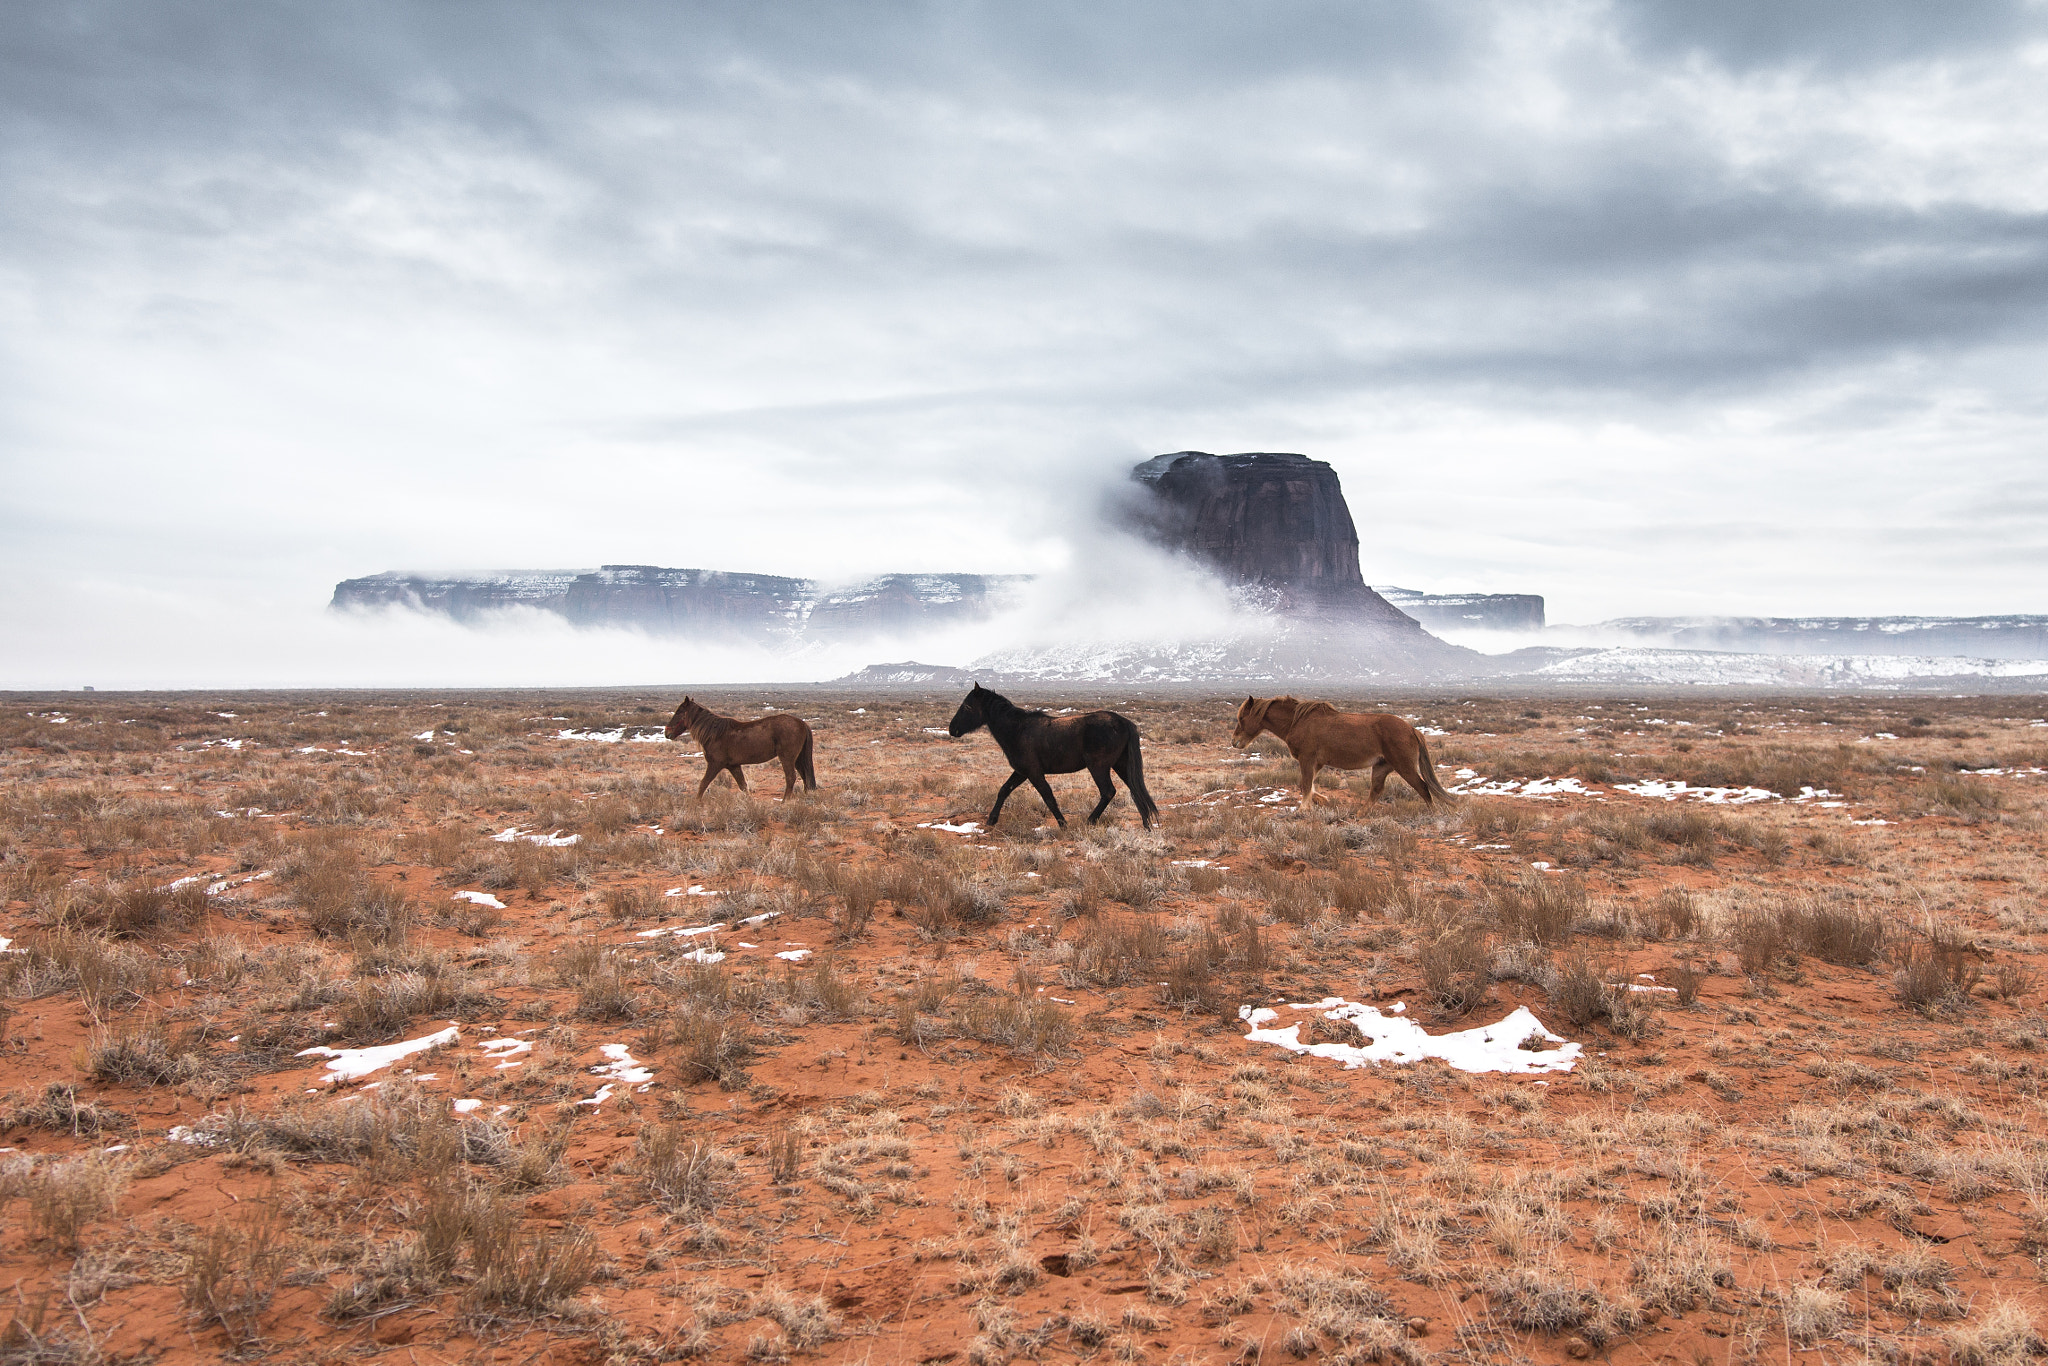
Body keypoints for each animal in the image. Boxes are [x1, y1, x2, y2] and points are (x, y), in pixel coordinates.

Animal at [664, 696, 817, 800]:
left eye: (678, 712)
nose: (667, 733)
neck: (714, 733)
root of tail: (801, 722)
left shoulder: (715, 765)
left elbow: (703, 784)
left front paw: (695, 803)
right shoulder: (734, 766)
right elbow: (743, 786)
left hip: (787, 758)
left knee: (791, 777)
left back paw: (785, 802)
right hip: (797, 759)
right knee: (805, 777)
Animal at [947, 684, 1159, 830]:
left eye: (966, 707)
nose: (952, 729)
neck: (1018, 730)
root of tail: (1125, 722)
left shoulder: (1034, 773)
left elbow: (1048, 797)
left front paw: (1063, 824)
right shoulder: (1021, 772)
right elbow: (1004, 790)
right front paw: (991, 820)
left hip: (1099, 767)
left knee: (1108, 792)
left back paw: (1090, 821)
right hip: (1121, 765)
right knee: (1135, 789)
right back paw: (1146, 824)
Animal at [1232, 695, 1455, 811]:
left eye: (1242, 718)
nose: (1235, 742)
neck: (1297, 721)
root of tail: (1412, 729)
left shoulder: (1307, 759)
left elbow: (1305, 784)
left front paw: (1303, 809)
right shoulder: (1317, 762)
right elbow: (1310, 785)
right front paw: (1321, 800)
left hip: (1404, 767)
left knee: (1423, 788)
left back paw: (1432, 814)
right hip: (1381, 767)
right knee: (1376, 791)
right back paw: (1360, 814)